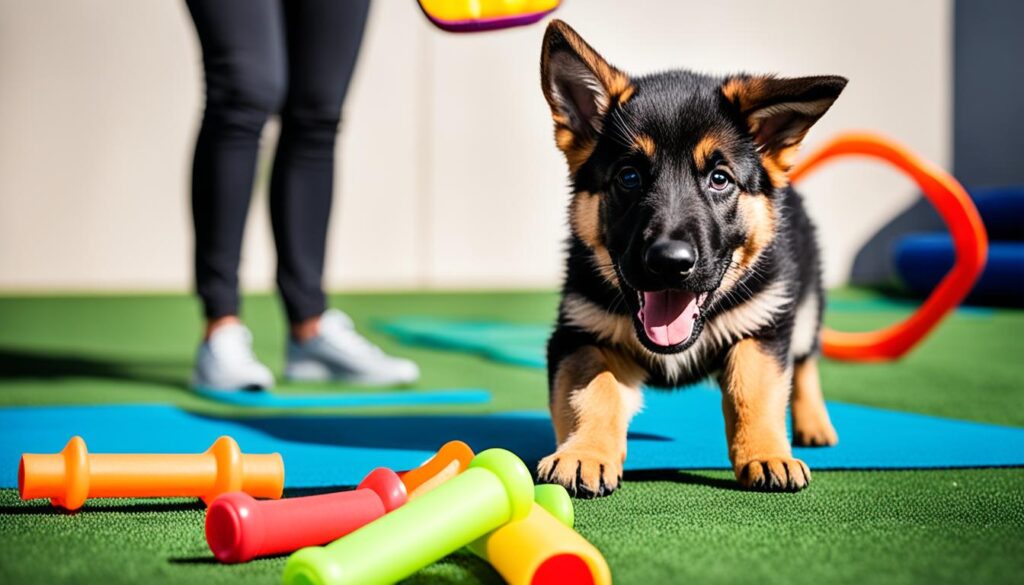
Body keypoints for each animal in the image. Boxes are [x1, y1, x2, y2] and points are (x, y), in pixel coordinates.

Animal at [536, 21, 839, 499]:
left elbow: (754, 390)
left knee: (806, 361)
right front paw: (583, 454)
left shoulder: (762, 326)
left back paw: (814, 425)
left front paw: (766, 454)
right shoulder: (579, 333)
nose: (669, 262)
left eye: (720, 178)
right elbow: (593, 391)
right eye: (629, 176)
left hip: (806, 306)